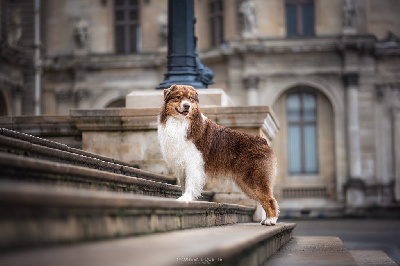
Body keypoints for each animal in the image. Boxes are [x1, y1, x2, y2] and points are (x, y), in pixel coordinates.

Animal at [156, 84, 278, 224]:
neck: (181, 122)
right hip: (246, 183)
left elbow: (190, 184)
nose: (187, 106)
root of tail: (263, 140)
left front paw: (186, 198)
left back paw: (271, 220)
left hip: (255, 178)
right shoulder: (182, 164)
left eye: (190, 98)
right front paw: (186, 198)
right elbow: (184, 184)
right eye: (178, 97)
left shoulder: (193, 163)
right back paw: (267, 219)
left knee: (269, 199)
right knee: (264, 199)